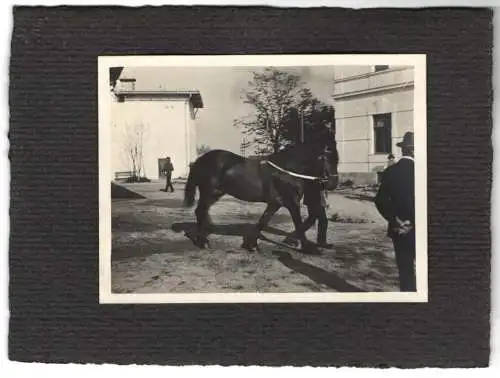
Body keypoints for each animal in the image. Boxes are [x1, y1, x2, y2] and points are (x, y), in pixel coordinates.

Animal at [184, 128, 340, 255]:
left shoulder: (275, 203)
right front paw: (310, 248)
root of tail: (199, 160)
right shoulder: (291, 202)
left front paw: (251, 244)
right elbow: (299, 224)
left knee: (203, 211)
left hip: (216, 193)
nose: (333, 183)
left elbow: (263, 221)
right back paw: (203, 241)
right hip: (208, 192)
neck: (286, 170)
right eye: (326, 156)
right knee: (200, 211)